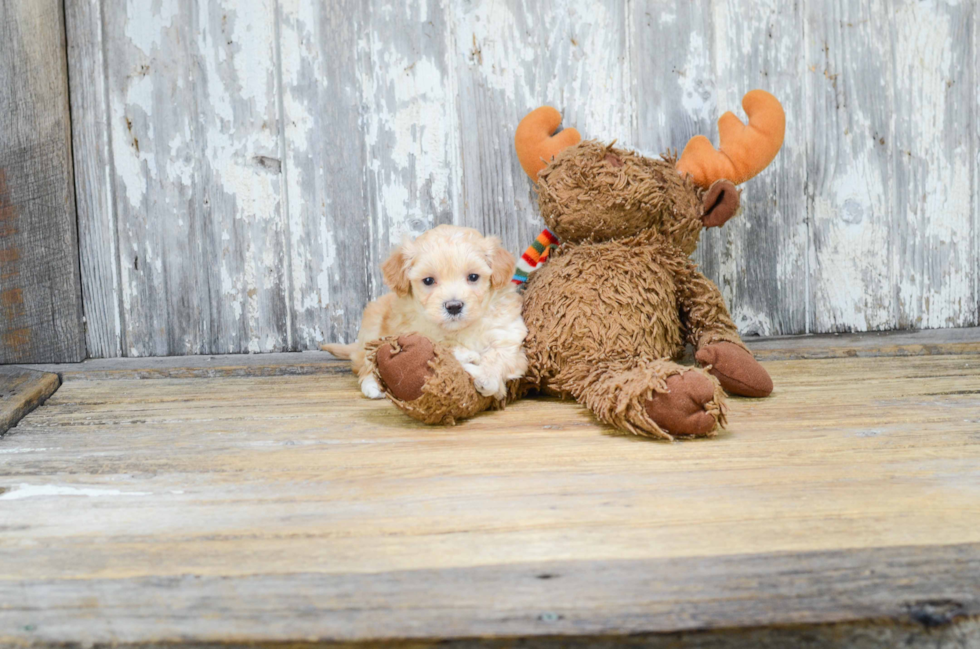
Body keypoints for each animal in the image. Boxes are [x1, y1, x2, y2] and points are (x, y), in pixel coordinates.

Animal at [324, 225, 528, 402]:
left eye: (473, 277)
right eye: (428, 280)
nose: (454, 306)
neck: (459, 329)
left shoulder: (507, 333)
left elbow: (500, 356)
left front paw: (486, 378)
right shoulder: (408, 330)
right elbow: (440, 344)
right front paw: (467, 355)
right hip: (372, 325)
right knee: (365, 363)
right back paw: (371, 385)